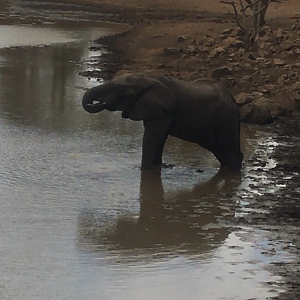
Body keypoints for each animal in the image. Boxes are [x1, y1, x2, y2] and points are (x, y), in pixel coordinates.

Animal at [82, 72, 244, 170]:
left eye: (121, 90)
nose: (97, 102)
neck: (148, 78)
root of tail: (234, 101)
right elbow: (158, 138)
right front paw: (158, 168)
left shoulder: (167, 110)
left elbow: (152, 137)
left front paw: (146, 170)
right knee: (216, 147)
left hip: (226, 119)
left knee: (228, 147)